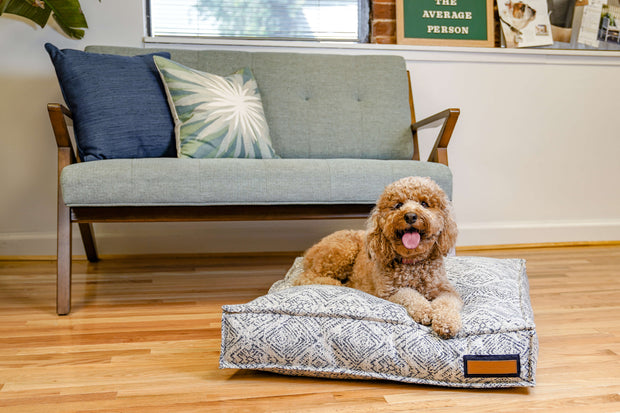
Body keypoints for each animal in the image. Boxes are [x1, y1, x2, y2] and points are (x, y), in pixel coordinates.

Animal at [294, 175, 460, 336]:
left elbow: (447, 304)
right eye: (398, 205)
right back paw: (334, 283)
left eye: (424, 203)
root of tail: (312, 250)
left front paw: (447, 324)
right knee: (303, 277)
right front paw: (424, 310)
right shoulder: (389, 292)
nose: (410, 216)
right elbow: (409, 294)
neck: (413, 263)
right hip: (343, 251)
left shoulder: (446, 290)